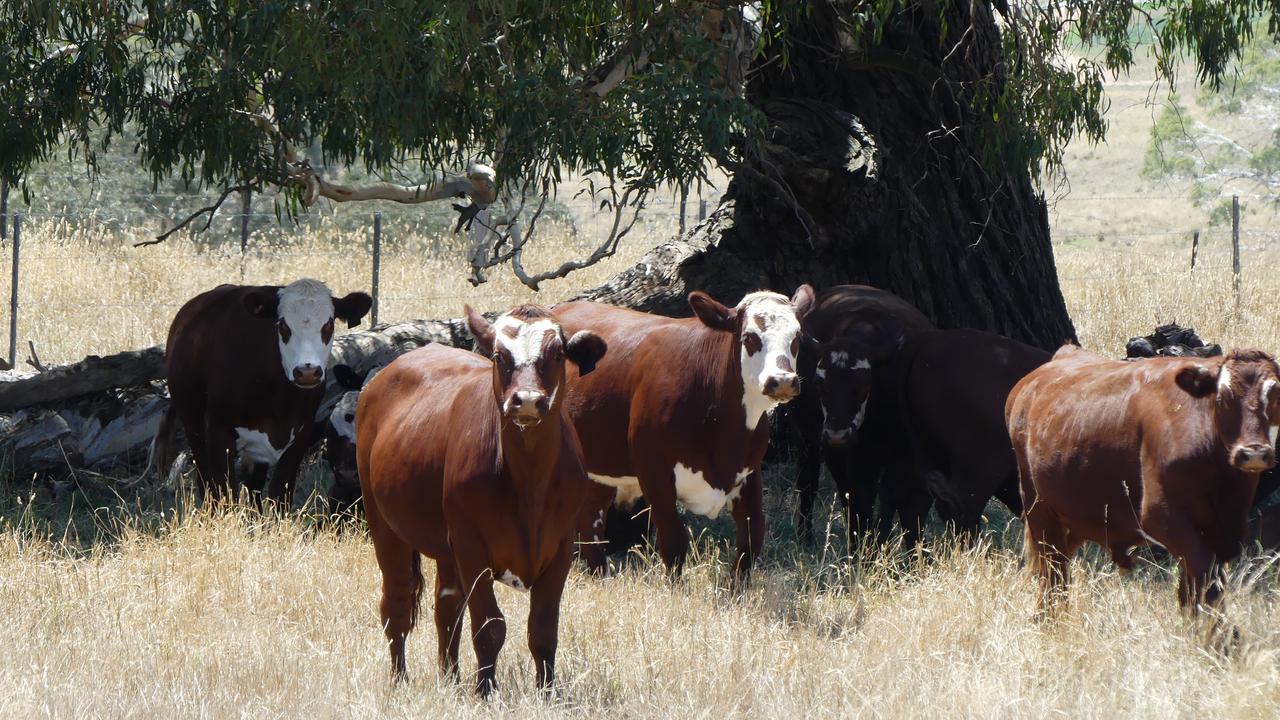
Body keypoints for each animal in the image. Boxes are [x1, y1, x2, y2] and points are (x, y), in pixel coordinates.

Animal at [155, 279, 372, 505]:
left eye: (329, 325)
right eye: (283, 325)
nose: (307, 372)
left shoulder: (299, 437)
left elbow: (279, 493)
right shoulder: (217, 430)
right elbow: (225, 492)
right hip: (193, 426)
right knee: (206, 480)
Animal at [356, 304, 607, 696]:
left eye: (556, 355)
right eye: (499, 356)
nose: (528, 400)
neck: (529, 482)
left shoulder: (562, 547)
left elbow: (543, 628)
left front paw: (548, 692)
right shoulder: (472, 547)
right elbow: (489, 626)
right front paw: (485, 690)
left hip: (446, 549)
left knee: (445, 608)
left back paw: (450, 677)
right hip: (385, 526)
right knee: (396, 605)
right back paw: (400, 680)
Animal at [553, 286, 815, 578]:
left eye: (797, 337)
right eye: (749, 337)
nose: (782, 380)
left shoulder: (748, 471)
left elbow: (752, 538)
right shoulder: (654, 473)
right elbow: (674, 543)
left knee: (591, 518)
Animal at [789, 285, 934, 546]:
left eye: (864, 386)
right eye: (819, 384)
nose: (838, 433)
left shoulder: (904, 455)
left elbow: (893, 498)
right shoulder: (840, 451)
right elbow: (856, 497)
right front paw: (861, 544)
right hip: (806, 438)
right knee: (808, 482)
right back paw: (806, 536)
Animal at [1006, 345, 1279, 616]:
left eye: (1276, 396)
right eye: (1222, 399)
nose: (1253, 452)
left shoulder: (1222, 531)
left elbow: (1194, 594)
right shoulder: (1162, 517)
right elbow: (1206, 584)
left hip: (1078, 515)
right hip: (1038, 507)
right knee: (1053, 573)